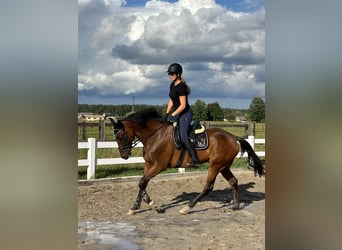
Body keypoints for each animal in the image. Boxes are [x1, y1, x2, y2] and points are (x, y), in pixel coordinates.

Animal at [107, 108, 264, 215]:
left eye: (120, 136)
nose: (124, 156)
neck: (155, 135)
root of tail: (232, 137)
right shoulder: (148, 165)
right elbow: (142, 183)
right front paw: (136, 207)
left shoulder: (159, 166)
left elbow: (142, 182)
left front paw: (150, 203)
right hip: (224, 166)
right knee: (233, 181)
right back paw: (236, 206)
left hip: (215, 165)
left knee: (208, 187)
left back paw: (187, 207)